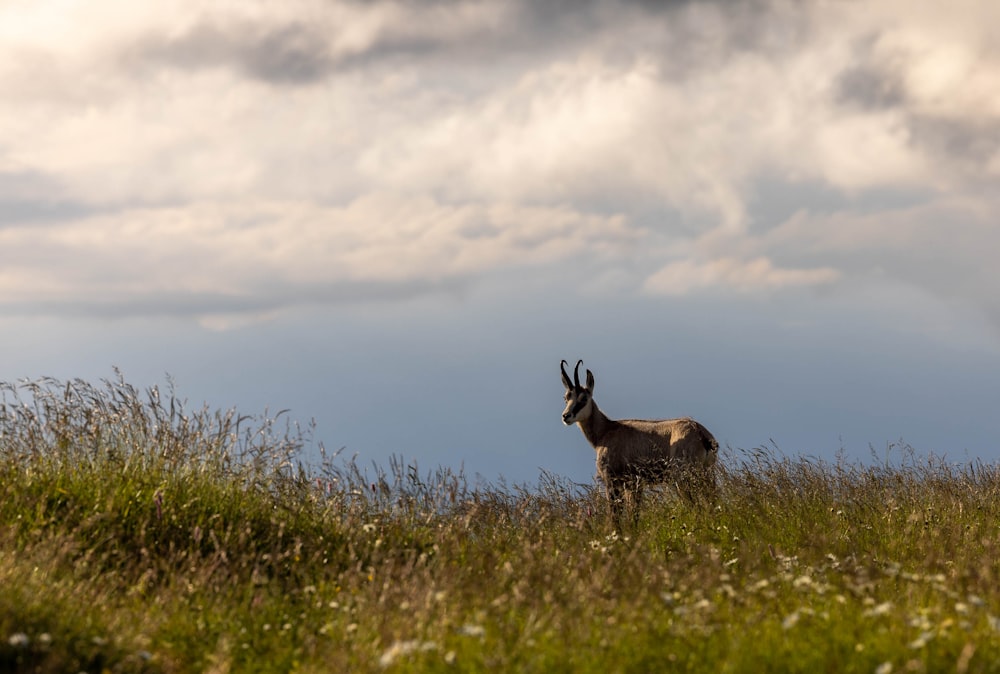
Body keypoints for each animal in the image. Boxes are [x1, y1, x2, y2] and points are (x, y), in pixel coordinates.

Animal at [564, 356, 720, 524]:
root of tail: (700, 432)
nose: (566, 416)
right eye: (566, 397)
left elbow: (616, 516)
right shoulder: (635, 485)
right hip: (706, 474)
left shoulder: (613, 481)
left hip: (683, 477)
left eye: (583, 398)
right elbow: (634, 514)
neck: (605, 431)